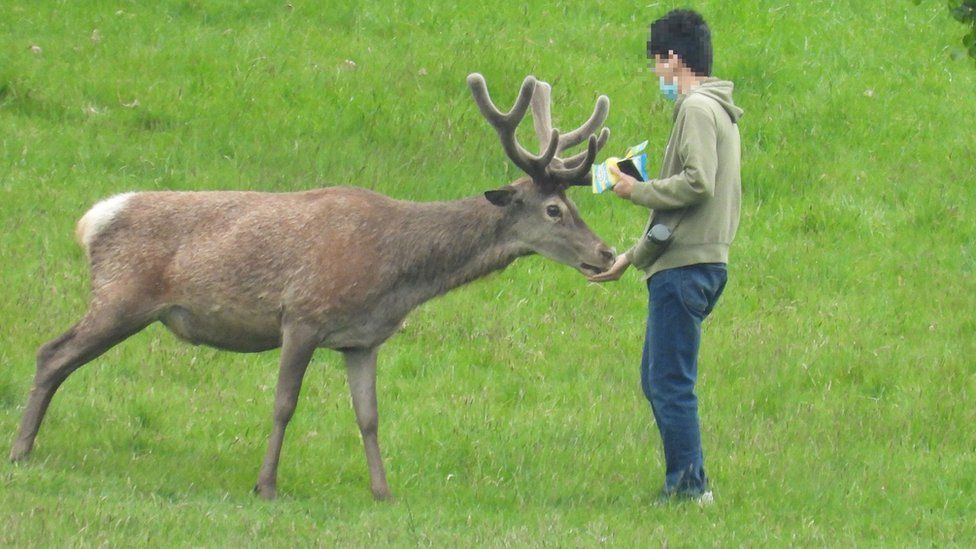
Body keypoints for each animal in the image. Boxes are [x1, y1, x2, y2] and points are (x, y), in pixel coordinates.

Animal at [7, 74, 612, 500]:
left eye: (575, 205)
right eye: (555, 210)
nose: (605, 253)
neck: (396, 273)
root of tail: (91, 221)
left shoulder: (362, 340)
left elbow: (369, 416)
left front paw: (383, 492)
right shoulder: (301, 315)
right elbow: (283, 404)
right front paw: (266, 485)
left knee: (56, 357)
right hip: (121, 295)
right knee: (50, 352)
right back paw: (18, 451)